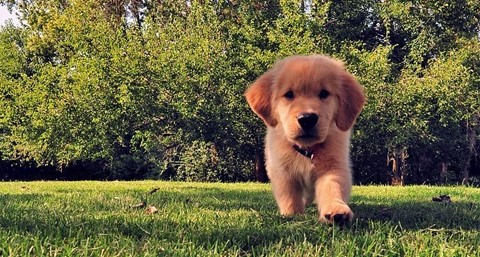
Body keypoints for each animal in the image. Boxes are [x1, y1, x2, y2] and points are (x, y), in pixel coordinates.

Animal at [246, 54, 366, 224]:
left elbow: (332, 187)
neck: (308, 150)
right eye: (289, 94)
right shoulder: (281, 169)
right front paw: (292, 214)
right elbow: (289, 195)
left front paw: (336, 209)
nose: (307, 118)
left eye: (324, 93)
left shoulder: (334, 166)